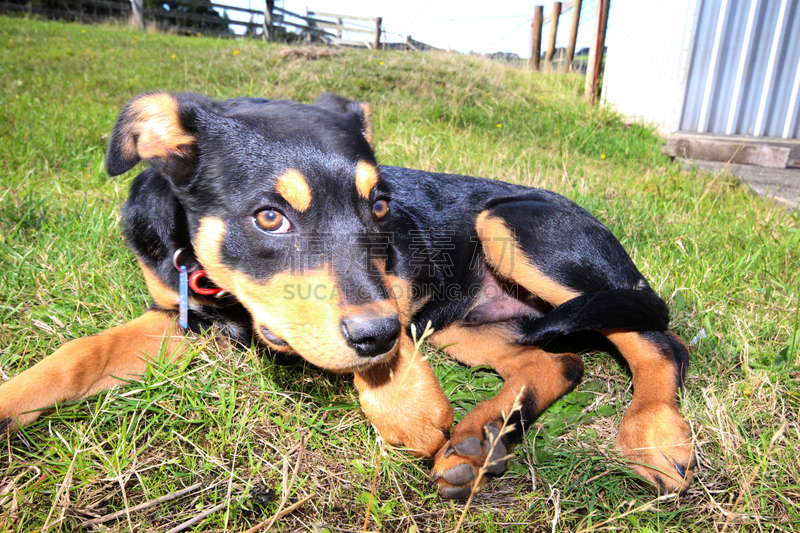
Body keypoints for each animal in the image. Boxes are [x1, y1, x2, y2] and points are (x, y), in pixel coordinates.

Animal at [0, 92, 692, 498]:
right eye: (270, 217)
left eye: (380, 205)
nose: (379, 338)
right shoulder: (175, 318)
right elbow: (79, 354)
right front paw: (12, 402)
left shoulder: (398, 279)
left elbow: (379, 325)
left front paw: (407, 407)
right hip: (468, 328)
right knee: (561, 361)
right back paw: (481, 439)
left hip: (516, 228)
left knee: (661, 341)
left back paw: (653, 435)